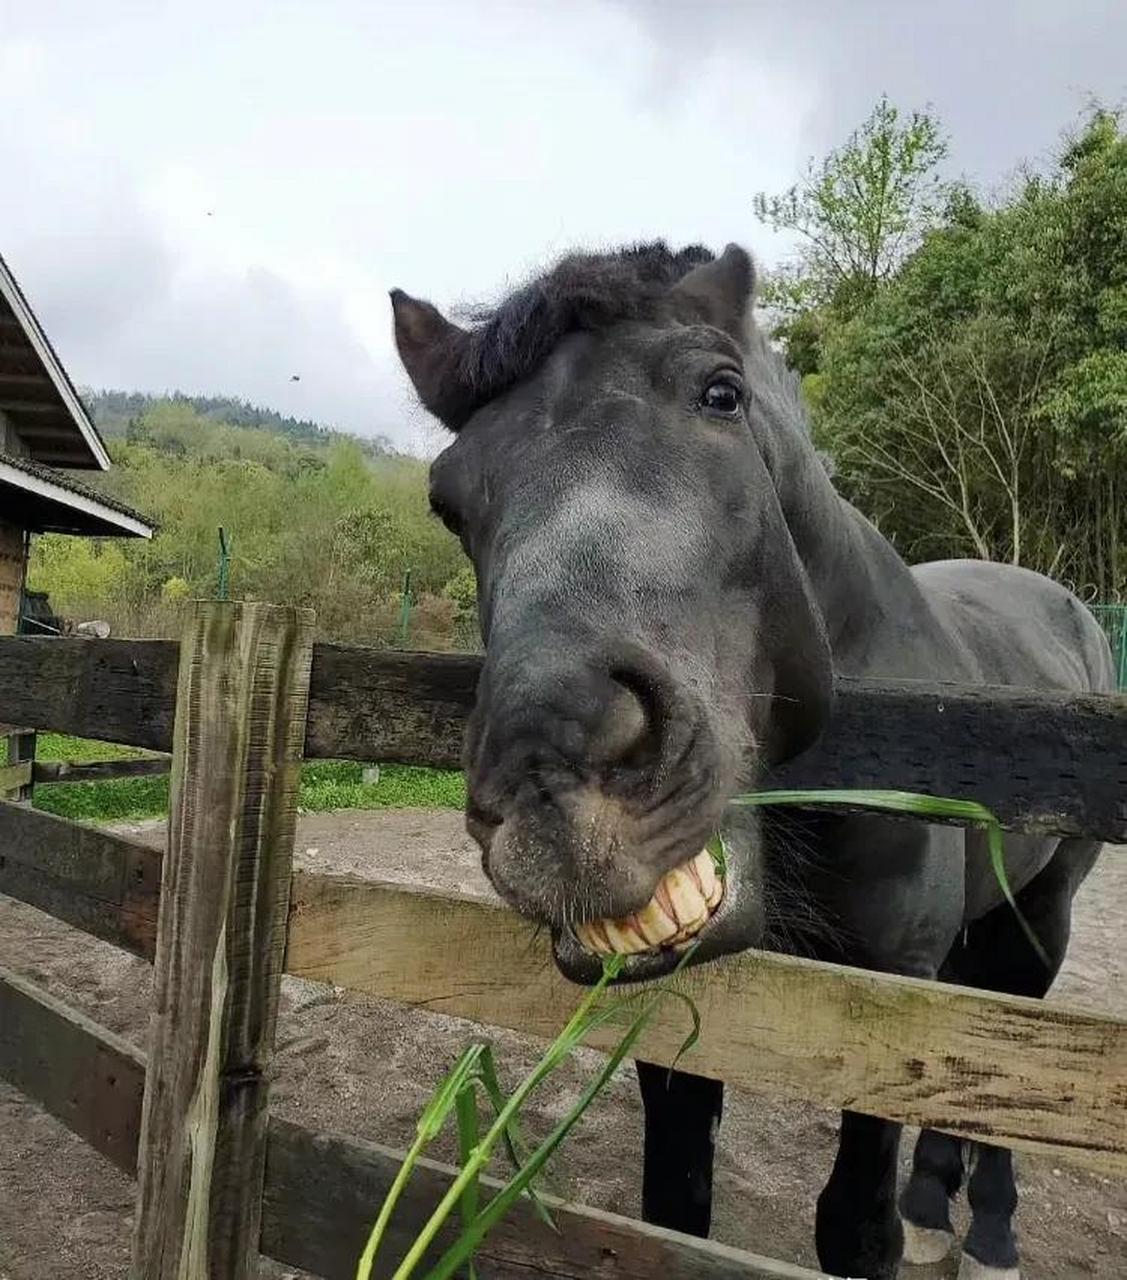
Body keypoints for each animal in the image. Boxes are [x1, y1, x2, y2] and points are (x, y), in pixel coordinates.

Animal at [391, 244, 1111, 1274]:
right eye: (447, 500)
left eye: (721, 395)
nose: (549, 766)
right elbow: (674, 1203)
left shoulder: (886, 995)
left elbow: (855, 1224)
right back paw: (935, 1204)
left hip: (1040, 916)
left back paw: (989, 1227)